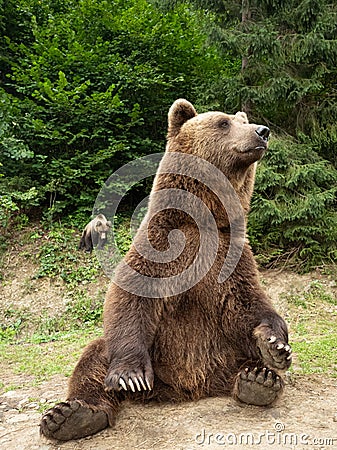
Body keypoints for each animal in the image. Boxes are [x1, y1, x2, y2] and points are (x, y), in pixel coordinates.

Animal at [40, 98, 292, 440]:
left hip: (225, 351)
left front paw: (275, 345)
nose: (262, 131)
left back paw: (258, 379)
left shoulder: (231, 256)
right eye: (223, 123)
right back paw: (72, 415)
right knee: (95, 358)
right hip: (155, 357)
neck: (202, 219)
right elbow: (130, 298)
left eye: (242, 120)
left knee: (244, 358)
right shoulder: (156, 245)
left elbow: (249, 304)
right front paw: (130, 375)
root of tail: (190, 386)